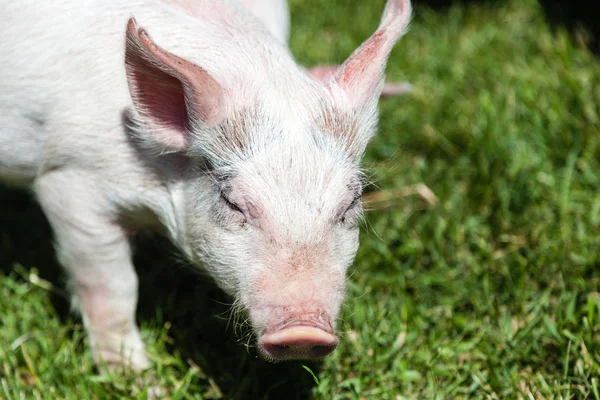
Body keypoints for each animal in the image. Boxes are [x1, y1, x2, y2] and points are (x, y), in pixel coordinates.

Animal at [0, 0, 412, 368]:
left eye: (350, 205)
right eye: (233, 203)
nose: (304, 331)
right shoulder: (69, 183)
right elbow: (113, 288)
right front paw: (140, 379)